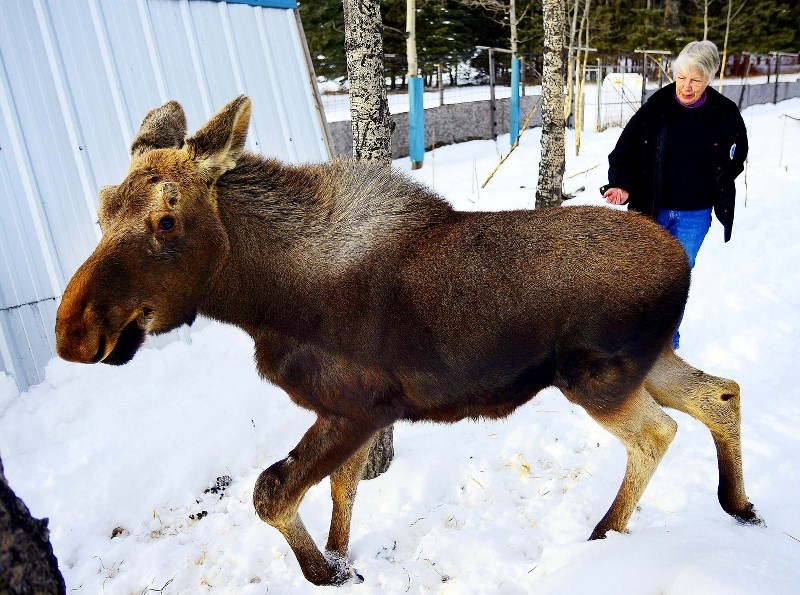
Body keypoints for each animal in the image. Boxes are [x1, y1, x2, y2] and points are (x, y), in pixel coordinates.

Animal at [56, 98, 764, 588]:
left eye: (166, 220)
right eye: (101, 208)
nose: (73, 332)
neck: (264, 301)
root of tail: (681, 264)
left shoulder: (358, 404)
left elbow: (272, 490)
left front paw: (324, 573)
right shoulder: (349, 411)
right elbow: (341, 488)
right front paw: (342, 558)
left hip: (598, 377)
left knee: (658, 433)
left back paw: (606, 533)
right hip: (648, 361)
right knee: (721, 392)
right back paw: (738, 503)